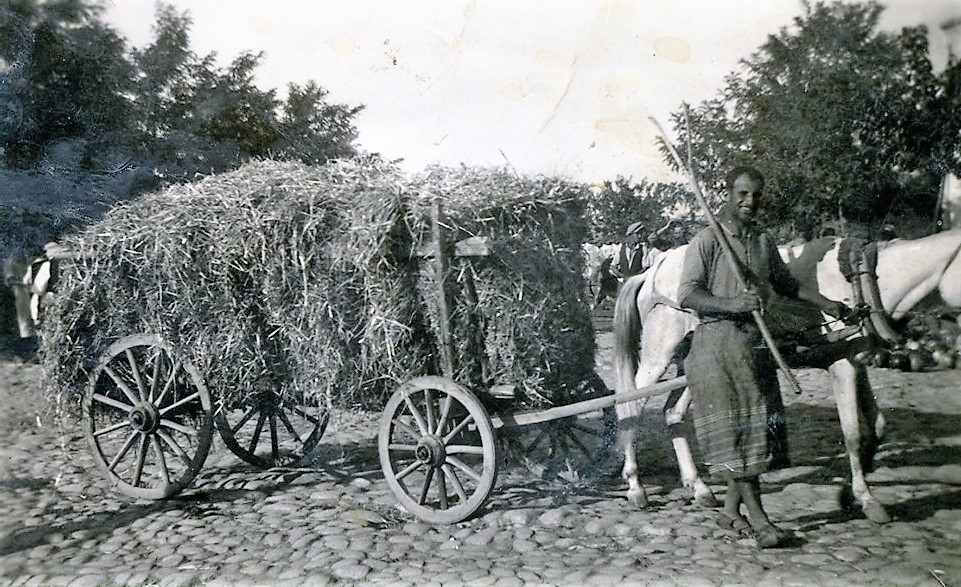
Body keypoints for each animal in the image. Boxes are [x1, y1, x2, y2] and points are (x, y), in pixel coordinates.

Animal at [612, 229, 960, 524]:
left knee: (673, 412)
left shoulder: (857, 362)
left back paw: (698, 487)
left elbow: (877, 425)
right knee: (628, 409)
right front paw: (865, 497)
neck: (862, 281)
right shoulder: (842, 365)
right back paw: (635, 486)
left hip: (692, 362)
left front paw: (852, 487)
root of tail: (653, 269)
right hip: (658, 355)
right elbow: (852, 433)